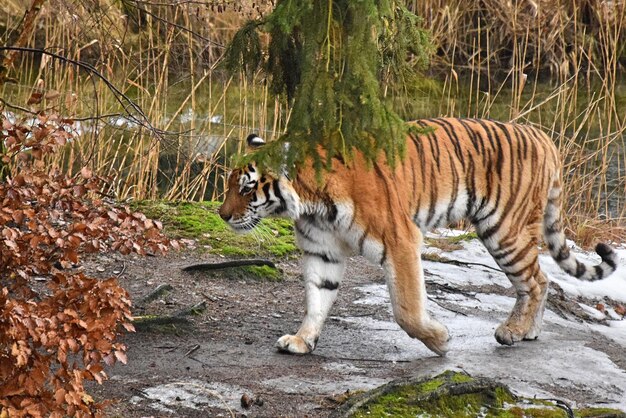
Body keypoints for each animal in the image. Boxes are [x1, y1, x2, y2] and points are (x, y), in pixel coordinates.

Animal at [217, 117, 616, 356]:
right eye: (229, 183)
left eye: (247, 187)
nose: (222, 215)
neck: (311, 204)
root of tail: (542, 135)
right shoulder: (322, 252)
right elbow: (317, 299)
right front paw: (302, 340)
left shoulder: (400, 241)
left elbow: (407, 310)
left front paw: (440, 341)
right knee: (544, 279)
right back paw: (529, 331)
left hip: (505, 230)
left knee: (534, 281)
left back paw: (512, 331)